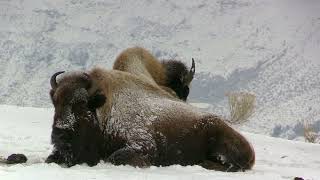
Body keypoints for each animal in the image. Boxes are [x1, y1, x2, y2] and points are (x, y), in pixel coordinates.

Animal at [45, 68, 255, 172]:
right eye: (55, 101)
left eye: (81, 103)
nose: (60, 134)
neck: (104, 109)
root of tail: (250, 150)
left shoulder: (142, 145)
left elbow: (115, 157)